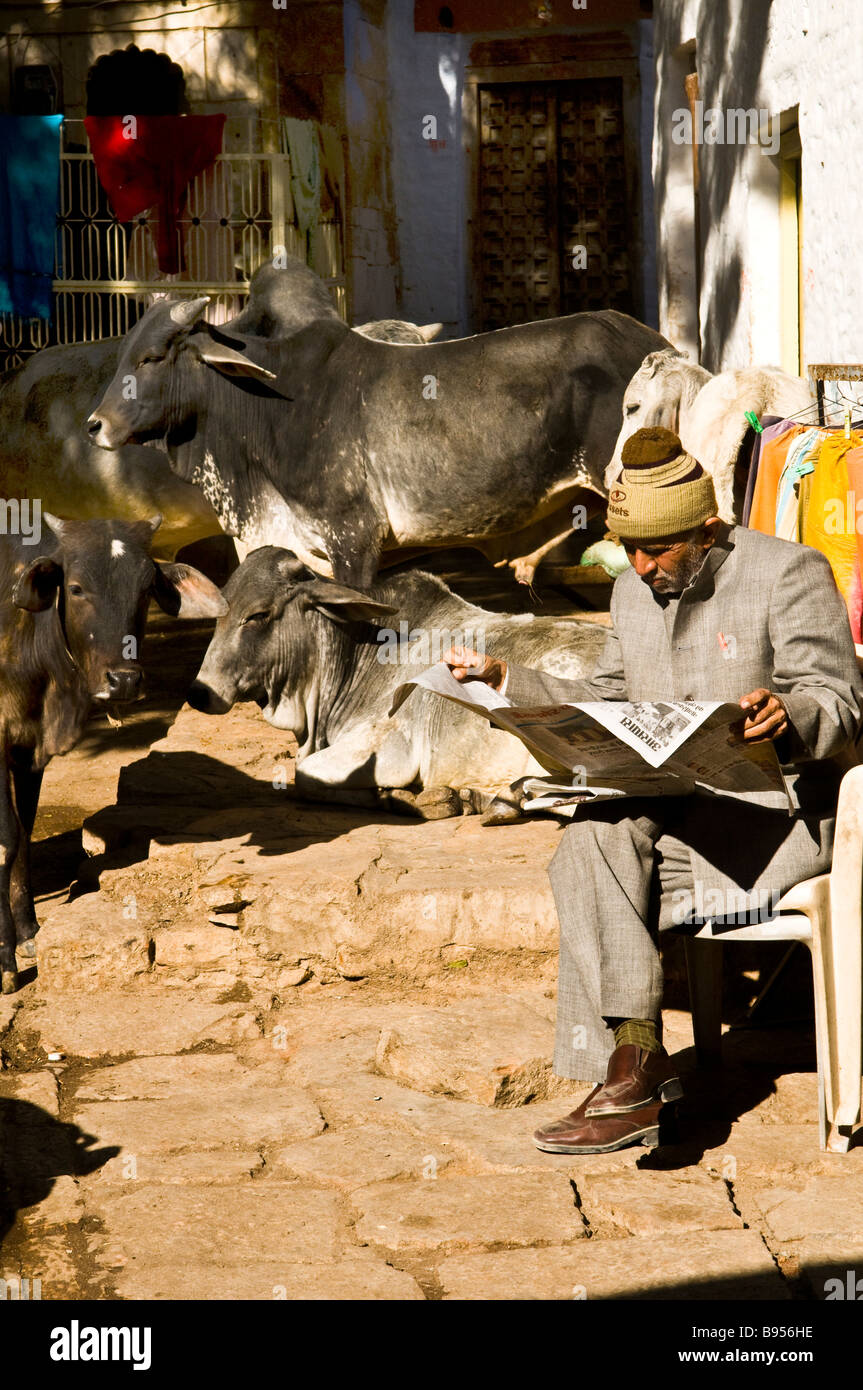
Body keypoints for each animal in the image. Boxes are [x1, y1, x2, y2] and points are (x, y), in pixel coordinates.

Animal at [188, 544, 605, 811]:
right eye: (217, 612)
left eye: (258, 615)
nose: (199, 693)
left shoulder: (391, 745)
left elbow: (303, 777)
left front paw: (395, 798)